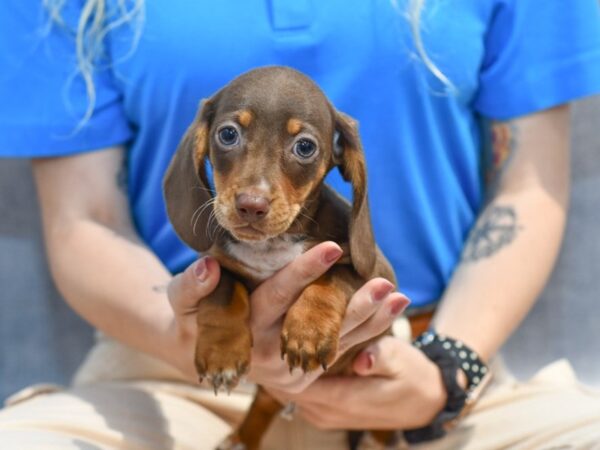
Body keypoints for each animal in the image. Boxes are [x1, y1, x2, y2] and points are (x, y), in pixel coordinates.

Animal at [163, 66, 398, 450]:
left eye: (304, 146)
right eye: (228, 134)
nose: (251, 205)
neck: (272, 246)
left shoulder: (376, 274)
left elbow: (332, 279)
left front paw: (309, 331)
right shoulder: (217, 265)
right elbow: (224, 292)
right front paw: (222, 353)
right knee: (264, 402)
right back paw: (240, 439)